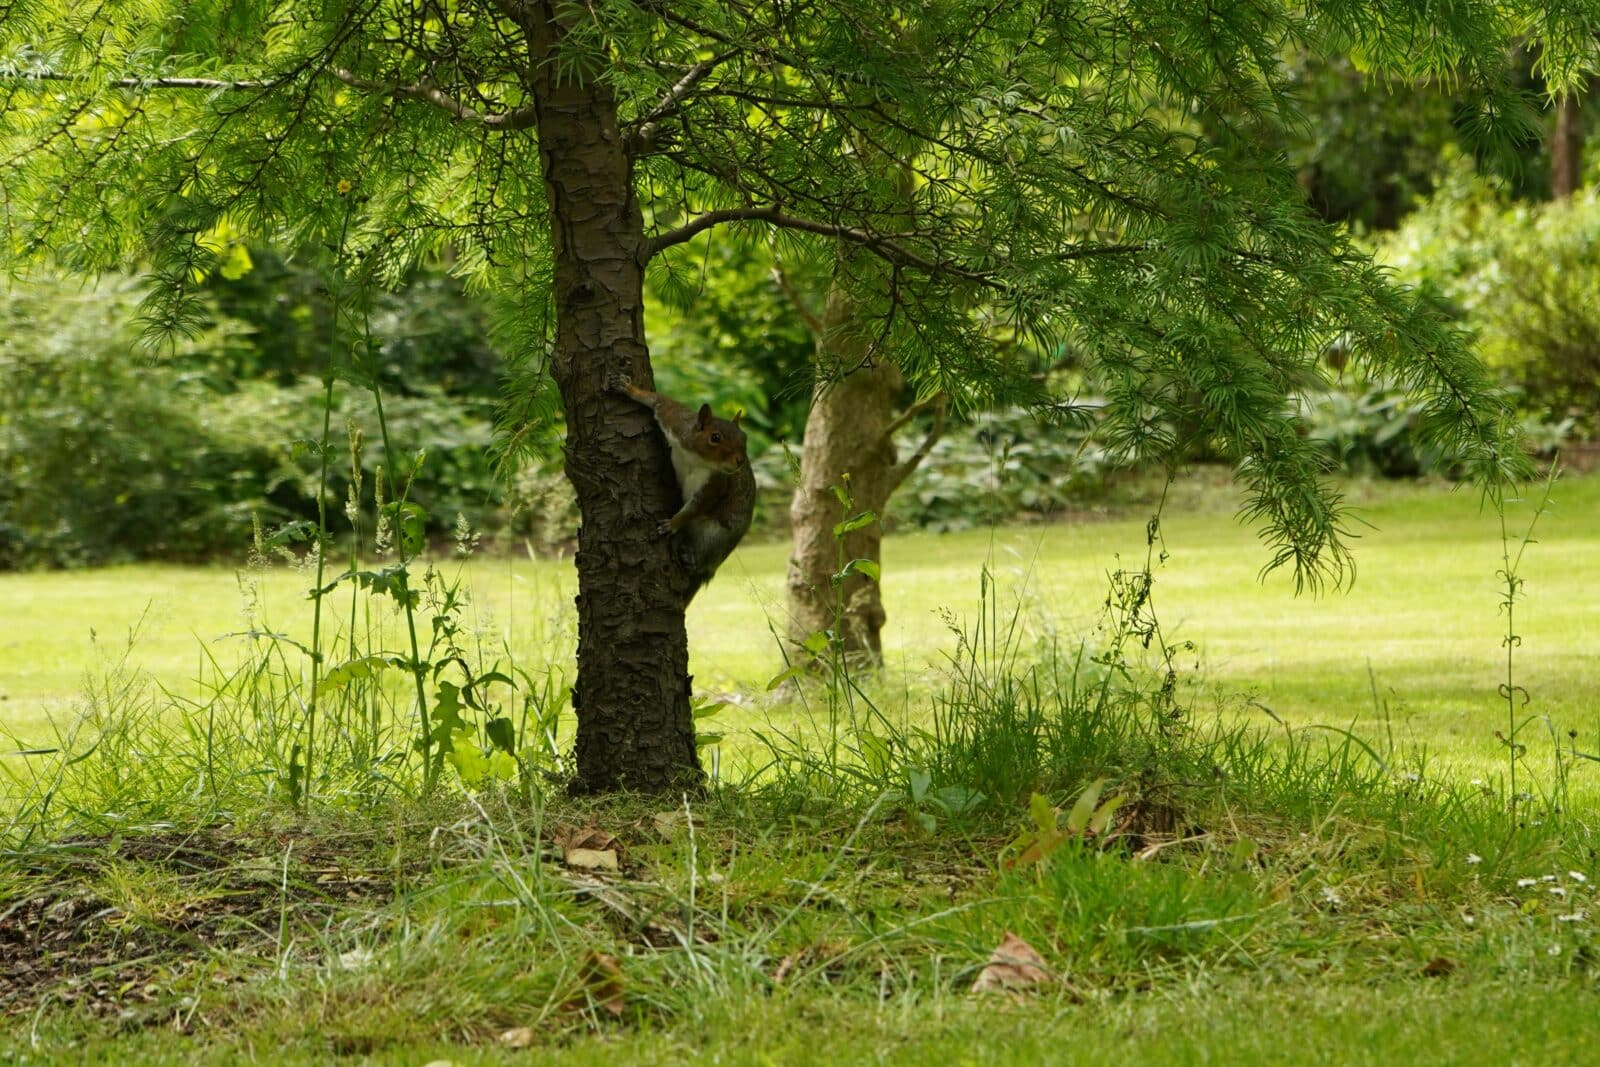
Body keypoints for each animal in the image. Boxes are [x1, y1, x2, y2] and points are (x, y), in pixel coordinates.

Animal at [609, 373, 756, 591]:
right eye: (715, 437)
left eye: (744, 438)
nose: (740, 461)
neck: (696, 458)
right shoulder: (676, 423)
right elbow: (660, 401)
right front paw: (629, 389)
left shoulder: (716, 484)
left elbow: (696, 507)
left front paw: (672, 524)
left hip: (716, 535)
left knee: (707, 559)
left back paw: (693, 561)